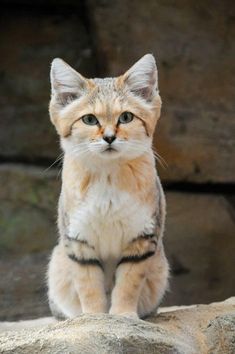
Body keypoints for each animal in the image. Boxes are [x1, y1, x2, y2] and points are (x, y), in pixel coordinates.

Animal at [47, 54, 169, 320]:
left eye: (126, 117)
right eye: (89, 119)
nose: (110, 137)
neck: (108, 177)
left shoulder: (141, 240)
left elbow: (128, 284)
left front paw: (123, 316)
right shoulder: (79, 241)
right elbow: (89, 286)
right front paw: (93, 319)